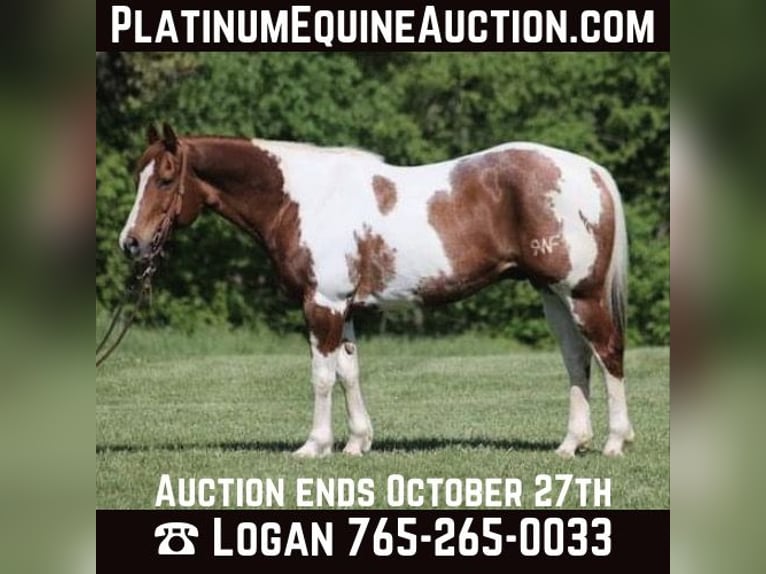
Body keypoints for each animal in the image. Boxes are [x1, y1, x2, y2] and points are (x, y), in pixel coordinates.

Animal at [118, 122, 634, 458]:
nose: (131, 243)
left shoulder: (322, 304)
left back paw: (614, 442)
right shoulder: (342, 307)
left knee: (608, 352)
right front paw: (356, 443)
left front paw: (315, 446)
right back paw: (570, 444)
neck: (303, 200)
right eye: (138, 176)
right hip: (552, 295)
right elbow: (349, 372)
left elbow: (322, 376)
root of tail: (591, 171)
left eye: (165, 178)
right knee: (576, 359)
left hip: (581, 294)